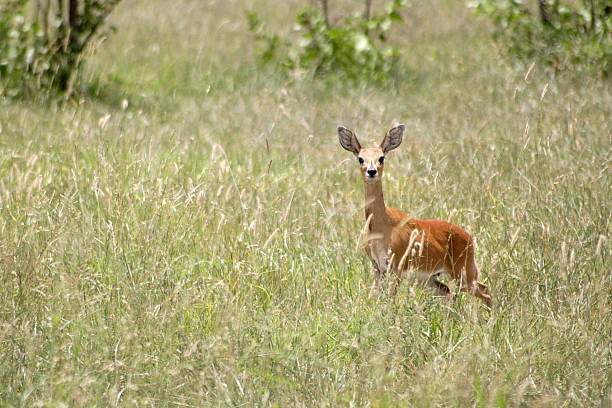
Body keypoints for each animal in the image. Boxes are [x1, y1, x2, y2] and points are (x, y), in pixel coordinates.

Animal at [340, 124, 492, 306]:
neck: (381, 227)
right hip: (430, 279)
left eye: (381, 157)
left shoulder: (396, 268)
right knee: (449, 292)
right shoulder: (378, 267)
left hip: (463, 272)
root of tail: (469, 238)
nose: (371, 171)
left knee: (485, 291)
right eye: (361, 158)